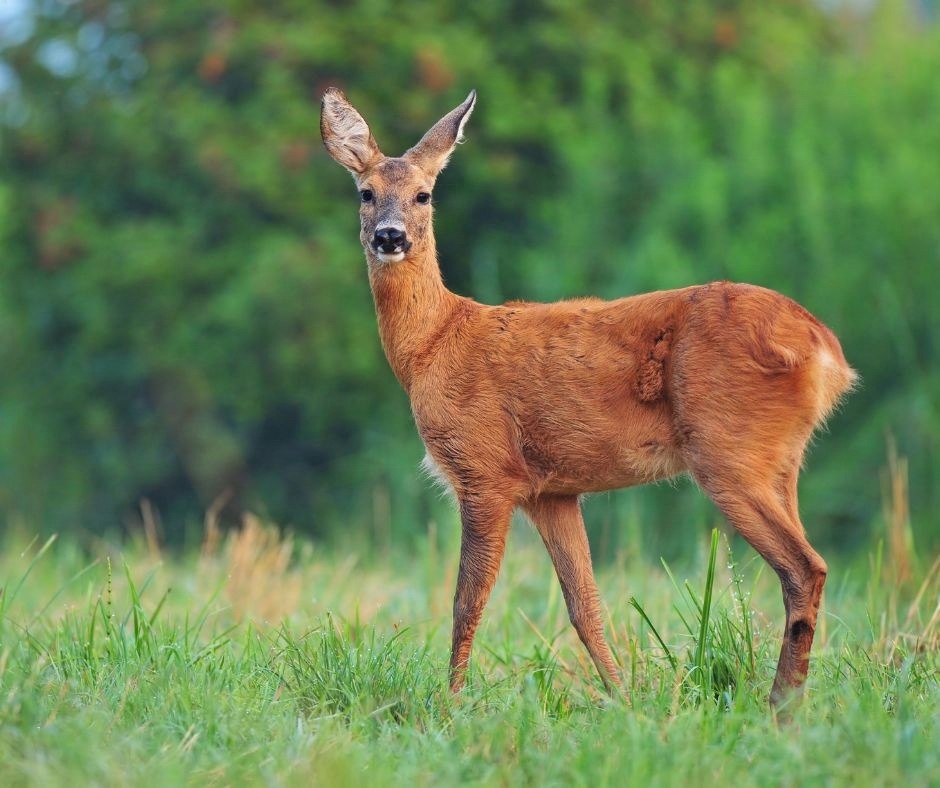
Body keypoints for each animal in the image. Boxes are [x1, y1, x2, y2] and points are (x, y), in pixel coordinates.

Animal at [320, 87, 856, 709]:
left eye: (423, 194)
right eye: (366, 193)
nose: (390, 236)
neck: (435, 343)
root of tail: (825, 350)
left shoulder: (484, 468)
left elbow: (466, 601)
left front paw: (450, 704)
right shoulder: (552, 490)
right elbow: (585, 604)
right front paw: (624, 701)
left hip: (727, 449)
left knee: (805, 567)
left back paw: (780, 707)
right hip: (781, 459)